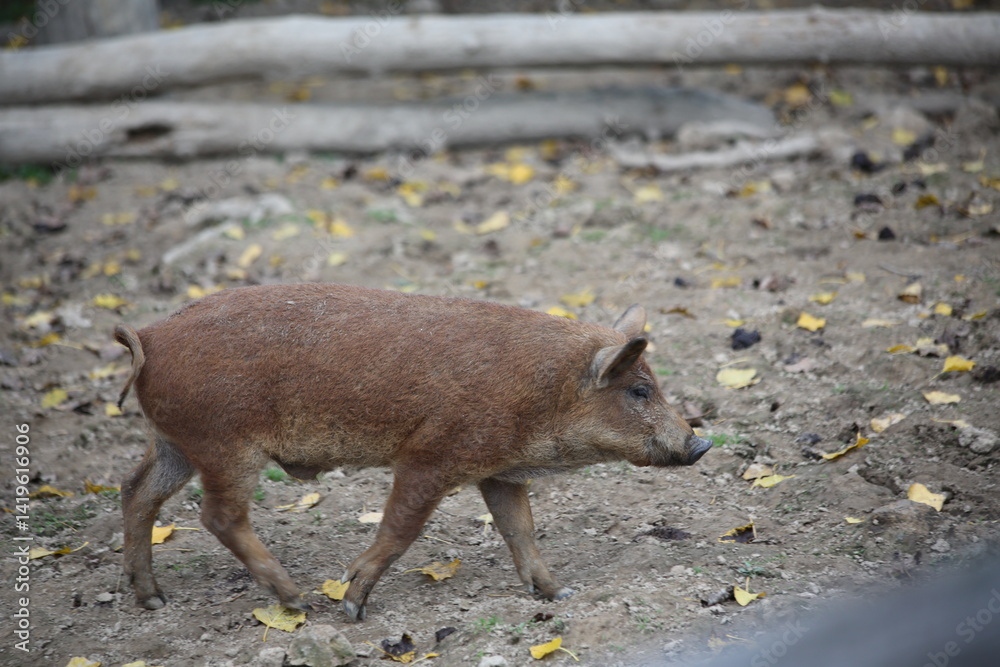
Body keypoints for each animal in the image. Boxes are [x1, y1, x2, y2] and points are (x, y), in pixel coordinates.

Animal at [114, 283, 710, 620]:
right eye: (639, 390)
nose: (701, 441)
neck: (544, 395)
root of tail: (148, 338)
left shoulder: (499, 472)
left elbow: (520, 529)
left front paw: (557, 595)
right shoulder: (430, 455)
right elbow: (401, 528)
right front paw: (351, 605)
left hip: (175, 444)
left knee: (135, 491)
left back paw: (153, 600)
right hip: (225, 446)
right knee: (217, 515)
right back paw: (298, 600)